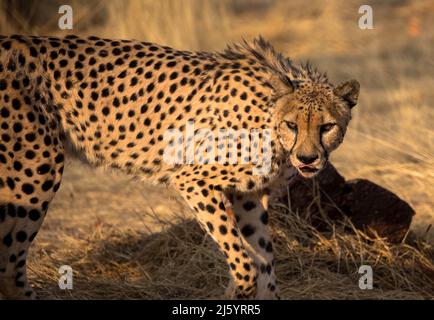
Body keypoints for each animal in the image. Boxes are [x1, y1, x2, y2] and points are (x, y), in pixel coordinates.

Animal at [0, 35, 360, 300]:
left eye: (327, 127)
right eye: (292, 125)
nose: (308, 159)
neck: (269, 120)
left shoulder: (249, 196)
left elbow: (264, 261)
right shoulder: (193, 180)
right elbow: (244, 262)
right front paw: (235, 292)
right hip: (34, 173)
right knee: (9, 266)